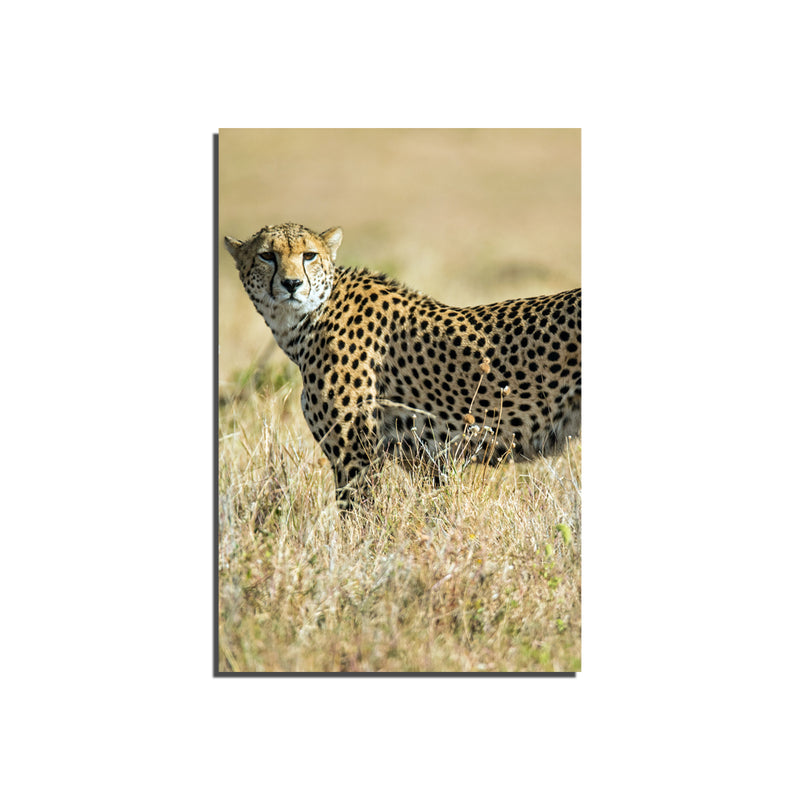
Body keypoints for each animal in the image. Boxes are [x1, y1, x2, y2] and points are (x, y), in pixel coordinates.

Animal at [225, 222, 581, 510]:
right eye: (267, 256)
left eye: (309, 255)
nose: (292, 284)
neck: (306, 320)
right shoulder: (427, 462)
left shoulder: (356, 456)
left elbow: (361, 522)